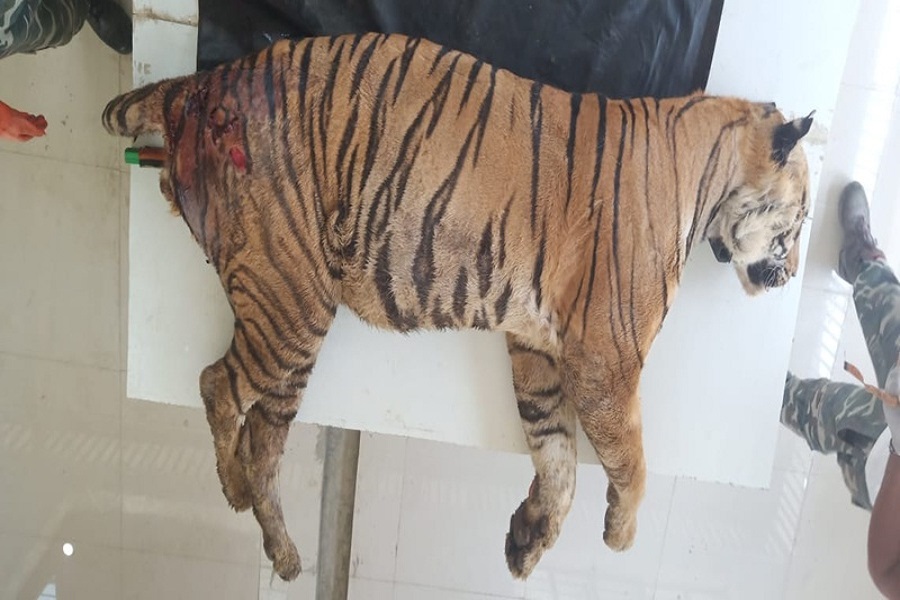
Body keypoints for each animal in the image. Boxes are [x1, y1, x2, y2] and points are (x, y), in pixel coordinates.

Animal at [102, 33, 813, 581]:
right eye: (801, 220)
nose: (790, 276)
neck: (710, 172)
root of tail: (200, 84)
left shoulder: (540, 350)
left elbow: (557, 455)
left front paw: (526, 544)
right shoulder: (606, 363)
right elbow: (631, 460)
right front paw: (620, 533)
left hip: (288, 320)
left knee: (262, 438)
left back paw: (284, 553)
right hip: (289, 296)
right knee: (215, 384)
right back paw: (231, 491)